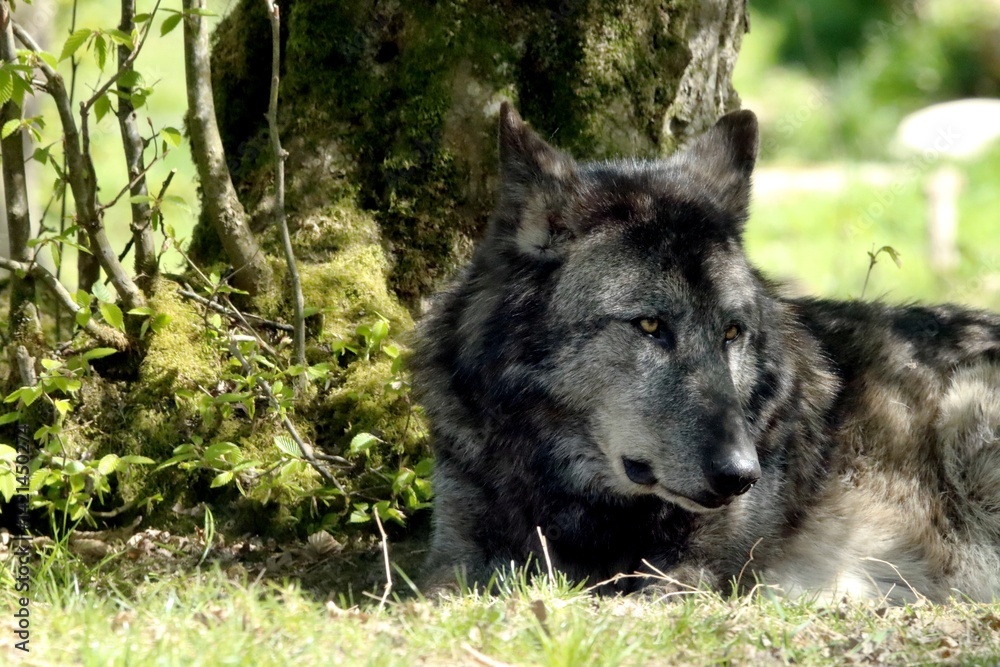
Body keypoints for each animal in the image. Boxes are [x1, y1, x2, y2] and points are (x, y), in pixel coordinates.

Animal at [412, 102, 1000, 603]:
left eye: (731, 333)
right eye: (650, 325)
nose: (742, 474)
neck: (578, 497)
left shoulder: (693, 574)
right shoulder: (455, 554)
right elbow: (434, 593)